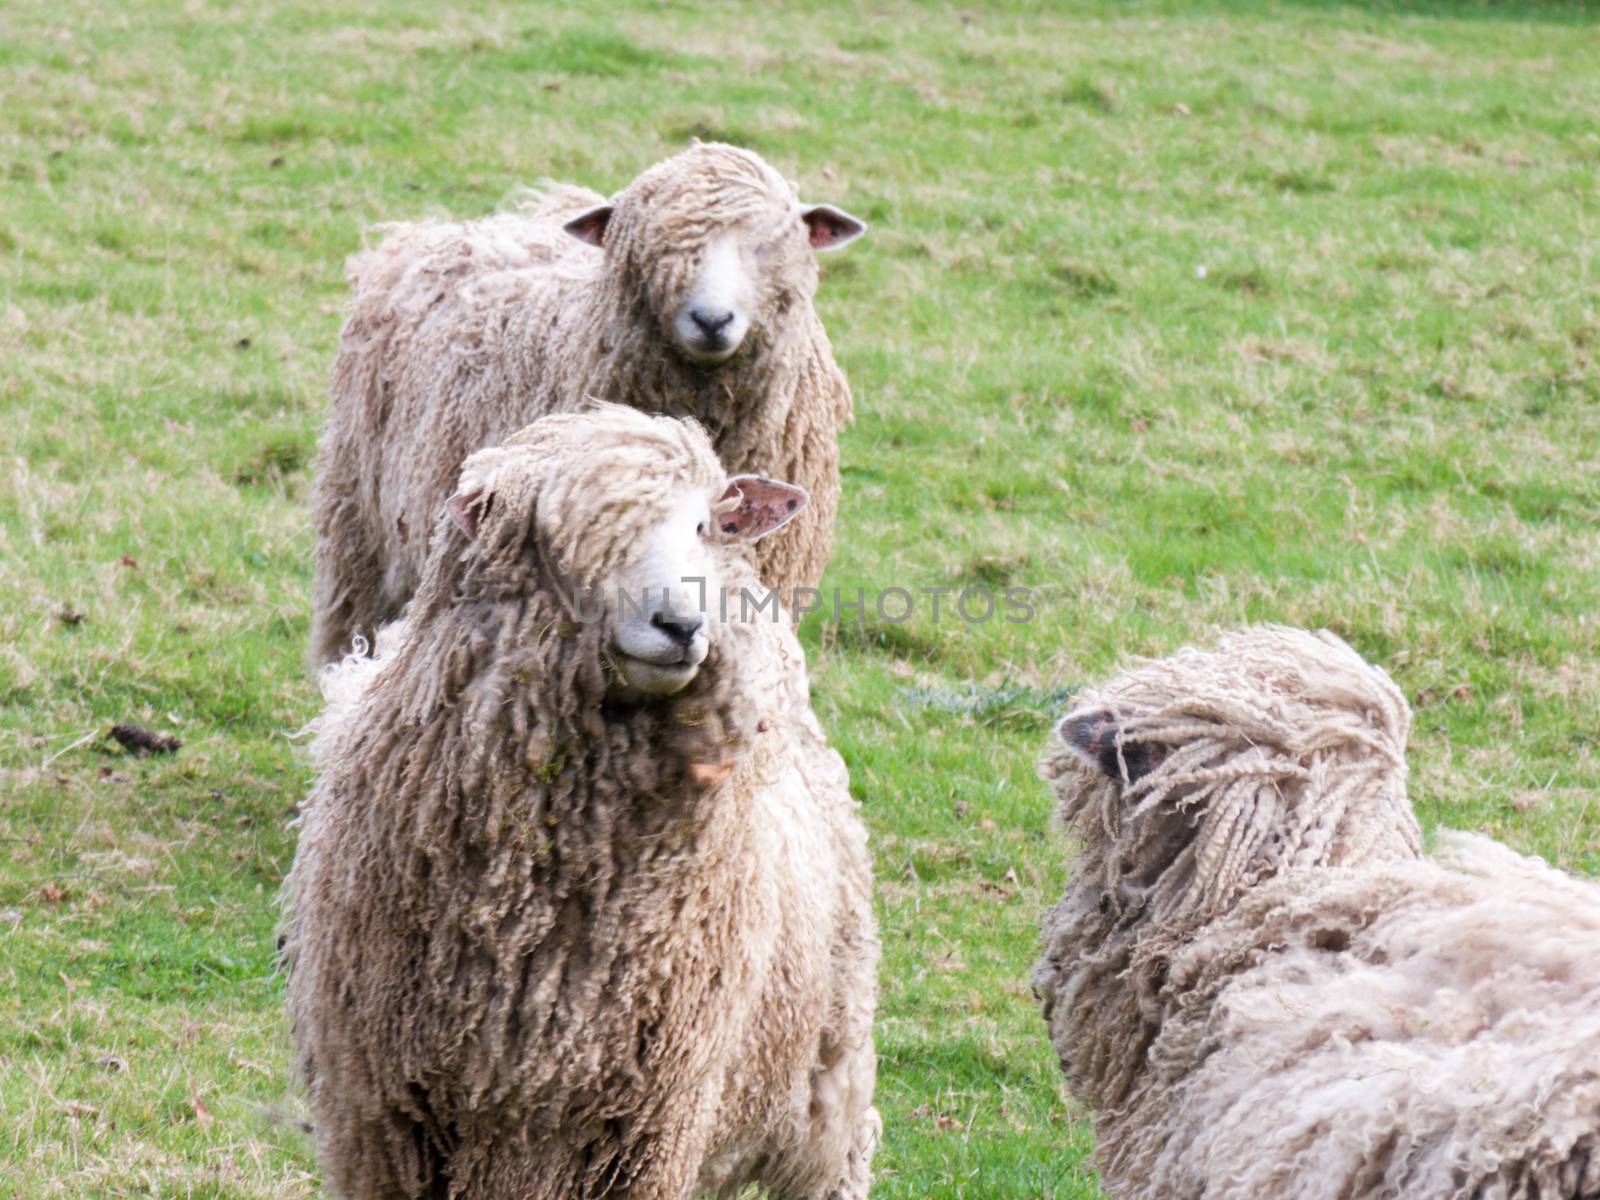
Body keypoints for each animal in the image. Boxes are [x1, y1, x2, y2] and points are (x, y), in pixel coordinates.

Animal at [281, 404, 883, 1200]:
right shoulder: (386, 1119)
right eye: (567, 541)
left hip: (826, 1054)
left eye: (702, 525)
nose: (682, 626)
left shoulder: (648, 1125)